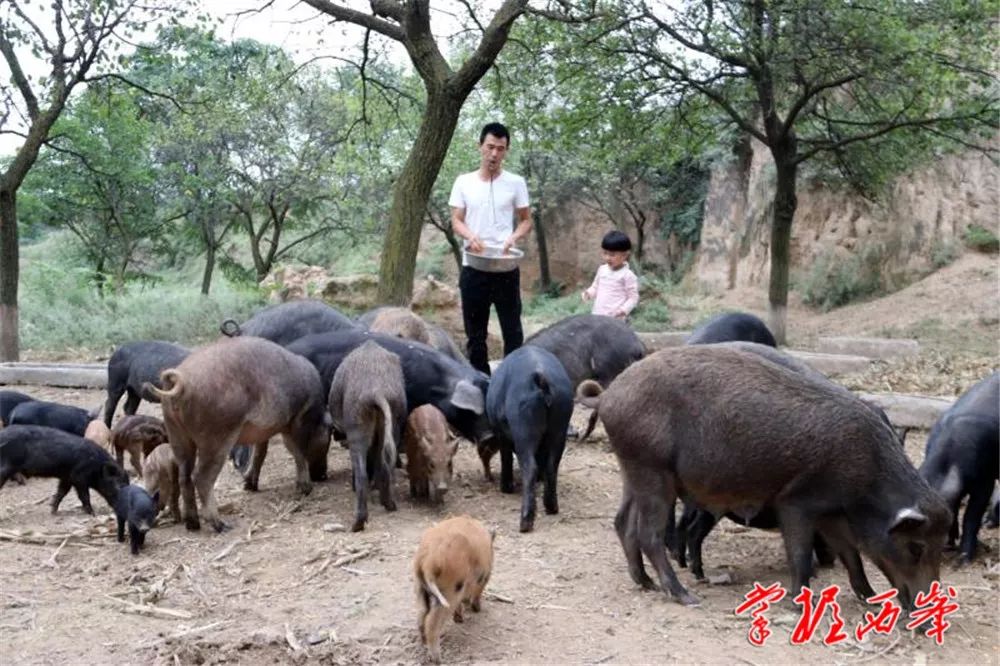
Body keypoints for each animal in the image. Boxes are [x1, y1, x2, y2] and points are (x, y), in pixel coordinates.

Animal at [146, 334, 332, 532]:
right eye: (328, 436)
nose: (322, 476)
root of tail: (181, 380)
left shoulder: (264, 431)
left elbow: (260, 452)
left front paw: (250, 486)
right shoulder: (298, 419)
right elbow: (297, 451)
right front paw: (306, 489)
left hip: (177, 434)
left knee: (184, 477)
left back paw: (193, 525)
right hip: (216, 435)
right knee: (201, 477)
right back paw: (222, 526)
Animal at [412, 512, 494, 660]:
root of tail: (428, 562)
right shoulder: (484, 576)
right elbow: (477, 593)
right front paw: (476, 610)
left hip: (419, 587)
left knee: (421, 613)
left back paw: (423, 643)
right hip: (449, 590)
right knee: (432, 622)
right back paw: (437, 659)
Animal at [580, 344, 944, 608]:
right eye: (916, 547)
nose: (924, 616)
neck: (866, 476)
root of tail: (608, 395)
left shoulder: (831, 512)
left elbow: (851, 554)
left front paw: (871, 599)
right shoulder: (795, 502)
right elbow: (800, 554)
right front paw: (797, 604)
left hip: (633, 470)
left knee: (622, 522)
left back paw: (646, 584)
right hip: (652, 471)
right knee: (648, 535)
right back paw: (686, 596)